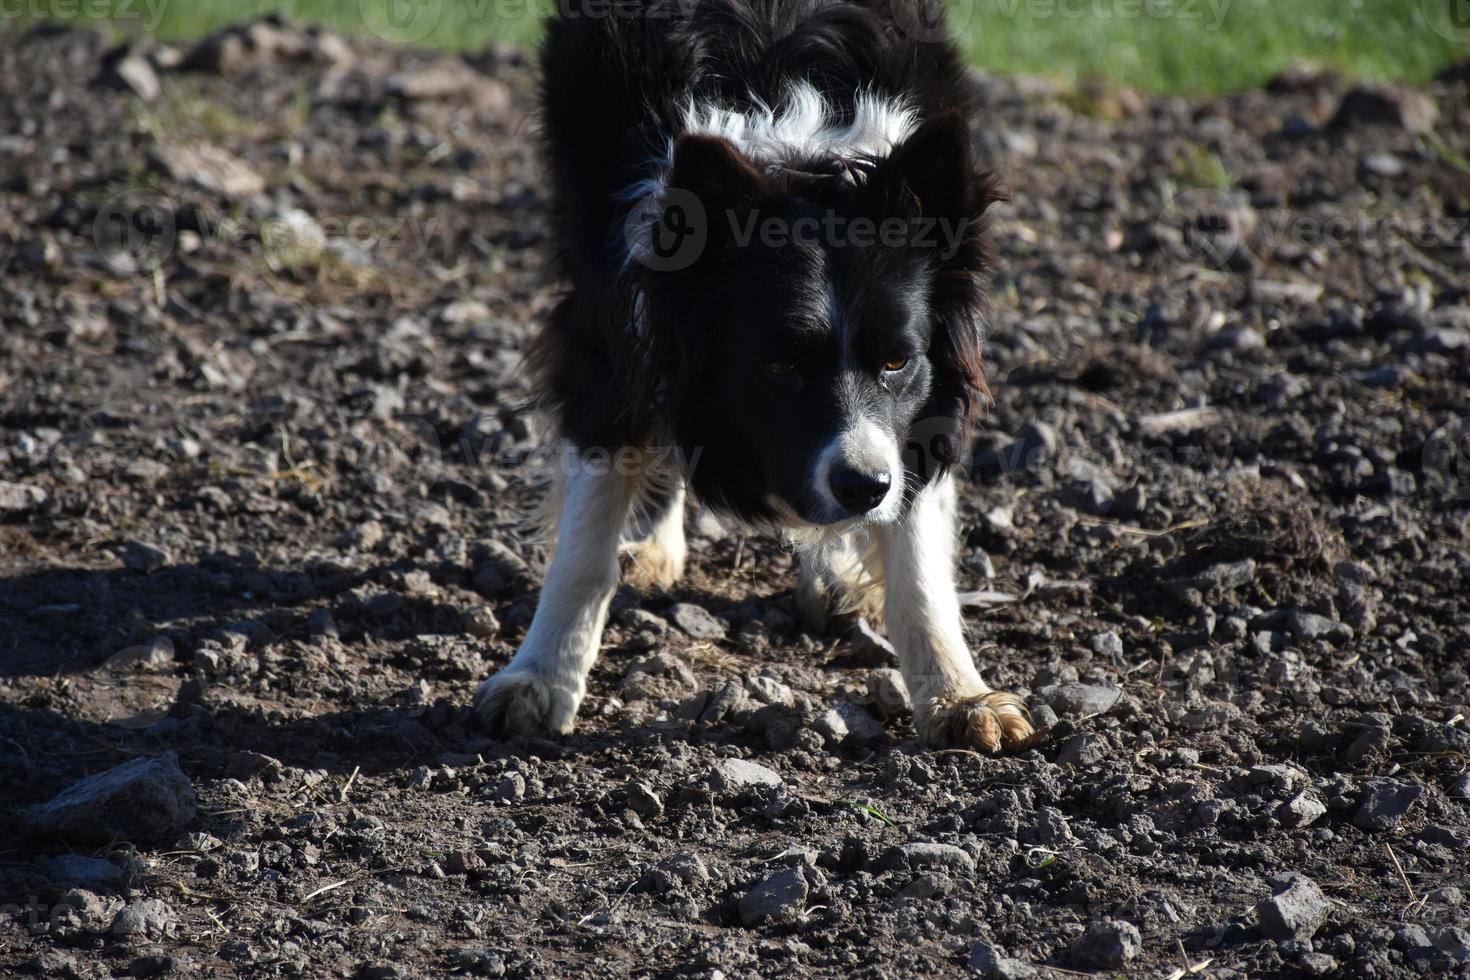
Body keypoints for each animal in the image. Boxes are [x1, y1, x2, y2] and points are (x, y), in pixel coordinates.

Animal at [473, 0, 1034, 752]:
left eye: (896, 359)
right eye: (781, 366)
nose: (864, 488)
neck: (795, 151)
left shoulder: (929, 394)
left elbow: (918, 546)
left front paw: (959, 696)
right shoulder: (609, 323)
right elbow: (588, 528)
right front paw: (538, 680)